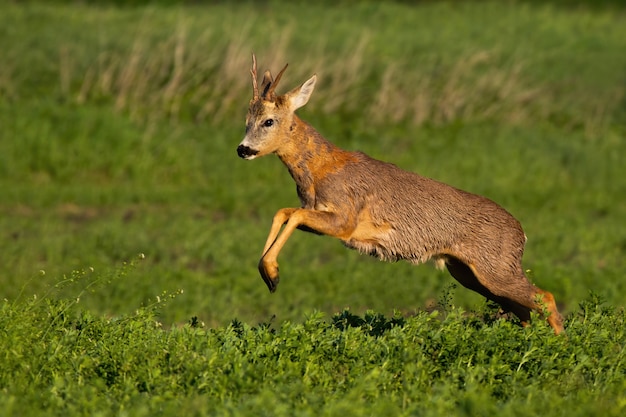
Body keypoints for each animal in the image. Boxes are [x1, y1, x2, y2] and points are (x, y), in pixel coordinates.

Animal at [236, 54, 564, 334]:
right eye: (246, 122)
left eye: (269, 121)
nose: (243, 149)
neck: (319, 171)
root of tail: (521, 234)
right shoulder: (317, 213)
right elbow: (284, 211)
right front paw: (268, 273)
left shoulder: (345, 220)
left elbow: (293, 214)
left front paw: (273, 274)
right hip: (467, 272)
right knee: (524, 309)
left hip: (494, 269)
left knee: (545, 298)